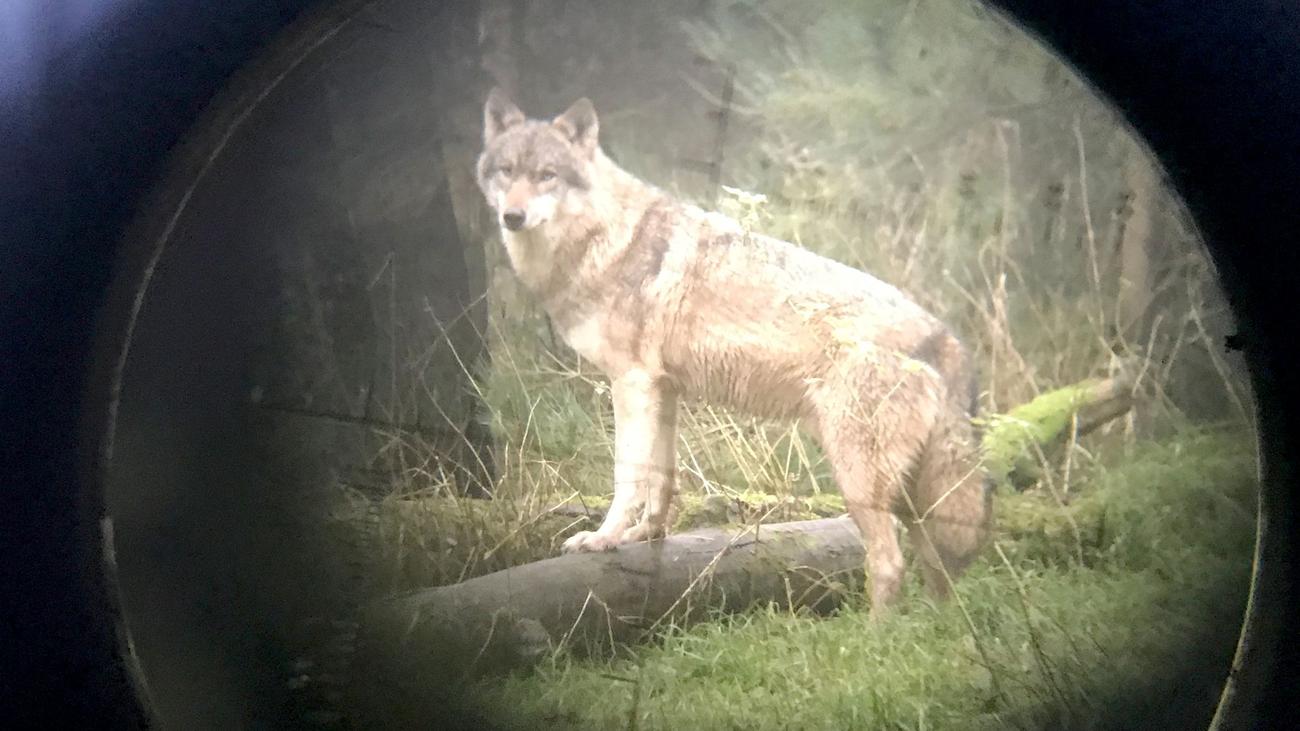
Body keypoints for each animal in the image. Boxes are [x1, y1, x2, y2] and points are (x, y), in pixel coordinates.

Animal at [475, 88, 992, 613]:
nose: (512, 217)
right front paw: (646, 535)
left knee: (891, 565)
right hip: (909, 498)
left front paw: (603, 539)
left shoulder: (631, 384)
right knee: (939, 571)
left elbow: (628, 477)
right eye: (507, 171)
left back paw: (876, 634)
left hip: (859, 481)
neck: (604, 238)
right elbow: (662, 477)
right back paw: (935, 628)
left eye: (547, 175)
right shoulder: (664, 390)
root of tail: (946, 337)